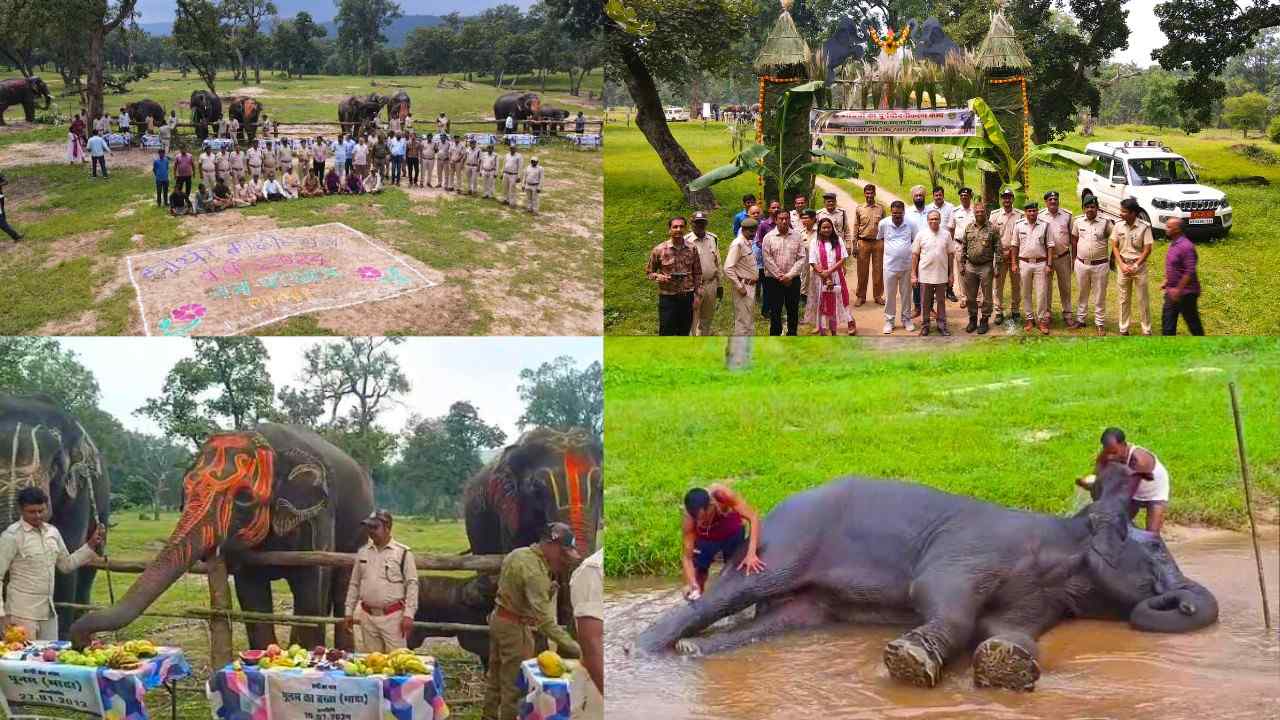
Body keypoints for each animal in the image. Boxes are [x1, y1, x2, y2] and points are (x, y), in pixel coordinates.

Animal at [67, 422, 373, 648]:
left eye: (244, 499)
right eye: (185, 491)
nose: (85, 641)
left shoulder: (318, 516)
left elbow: (310, 586)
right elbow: (252, 597)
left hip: (357, 527)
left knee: (339, 587)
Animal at [640, 458, 1218, 691]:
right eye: (1158, 545)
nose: (1184, 600)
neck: (1064, 543)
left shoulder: (1041, 597)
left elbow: (1005, 630)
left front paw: (1007, 667)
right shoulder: (972, 549)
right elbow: (940, 595)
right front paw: (909, 662)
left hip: (803, 600)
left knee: (783, 619)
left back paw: (692, 653)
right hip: (782, 544)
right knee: (730, 593)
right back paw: (642, 651)